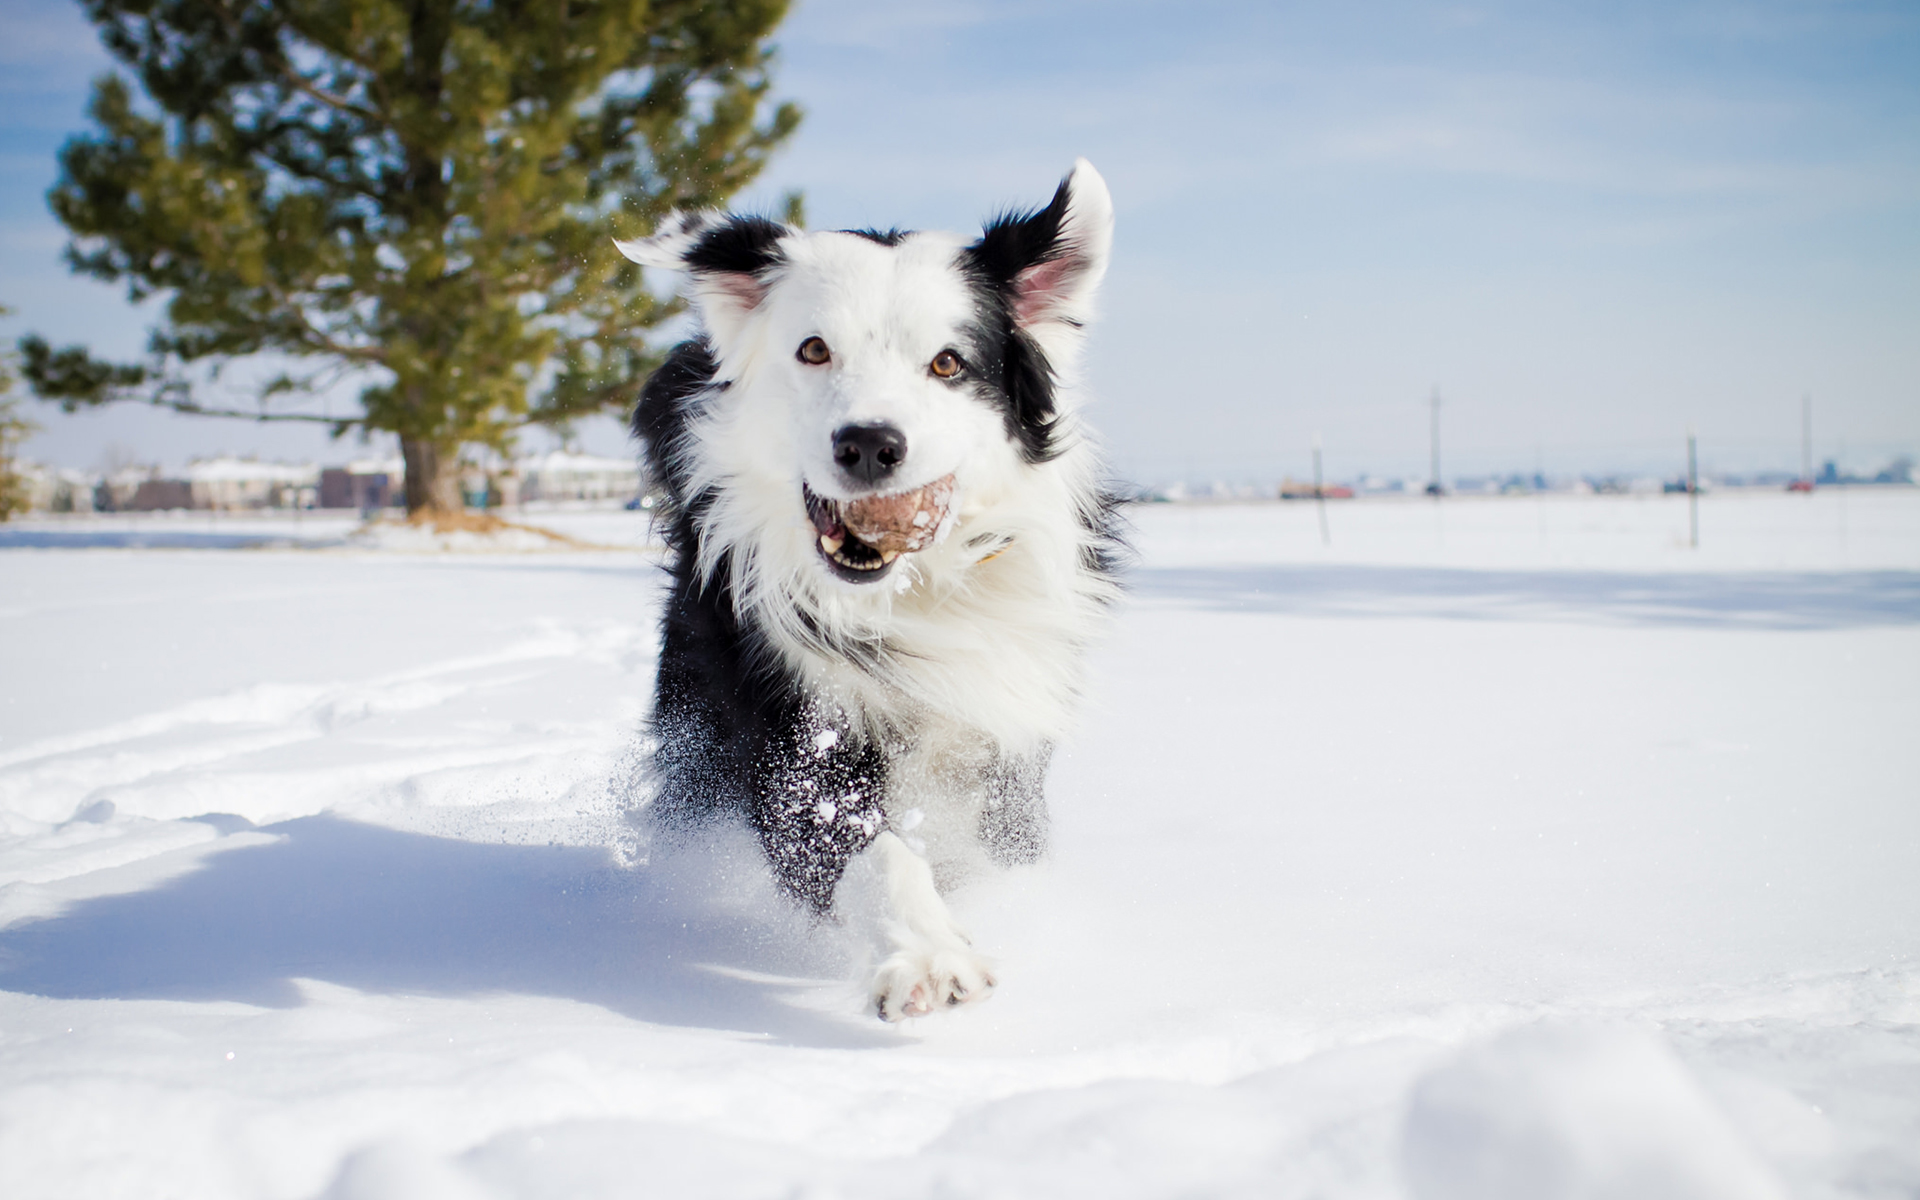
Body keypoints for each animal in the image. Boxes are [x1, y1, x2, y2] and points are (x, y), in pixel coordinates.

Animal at [614, 161, 1121, 1021]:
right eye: (814, 350)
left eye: (948, 363)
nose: (869, 444)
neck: (910, 594)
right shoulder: (788, 733)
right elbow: (871, 850)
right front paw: (927, 953)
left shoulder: (1005, 740)